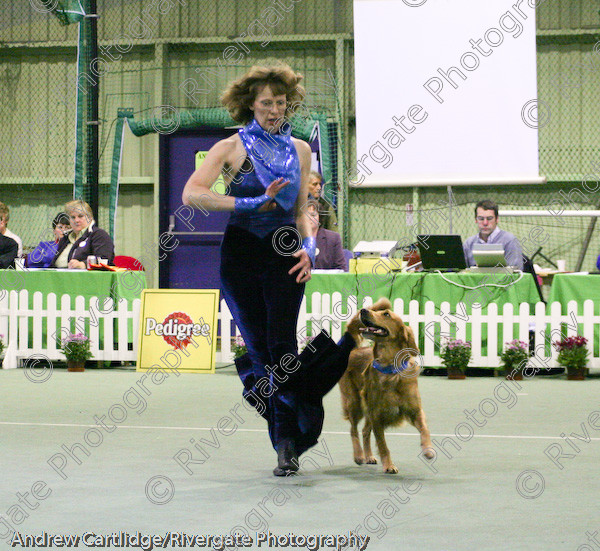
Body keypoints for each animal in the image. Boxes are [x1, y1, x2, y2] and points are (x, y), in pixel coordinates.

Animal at [340, 298, 434, 474]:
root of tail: (356, 349)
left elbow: (425, 429)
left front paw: (428, 449)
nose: (363, 310)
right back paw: (359, 455)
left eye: (386, 314)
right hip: (355, 403)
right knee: (354, 429)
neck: (391, 371)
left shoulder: (415, 410)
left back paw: (369, 456)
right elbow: (383, 445)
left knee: (364, 431)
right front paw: (389, 465)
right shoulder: (376, 415)